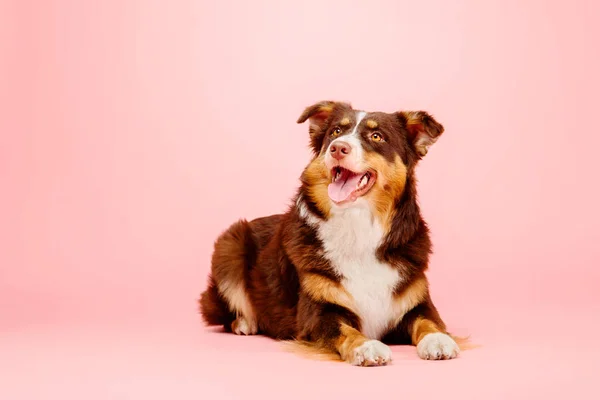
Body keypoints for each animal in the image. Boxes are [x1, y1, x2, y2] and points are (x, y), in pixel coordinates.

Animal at [199, 99, 462, 366]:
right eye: (336, 132)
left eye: (377, 136)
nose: (338, 148)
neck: (357, 225)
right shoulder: (318, 312)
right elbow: (345, 330)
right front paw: (366, 346)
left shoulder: (417, 302)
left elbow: (428, 321)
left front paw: (438, 339)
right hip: (230, 244)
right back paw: (244, 322)